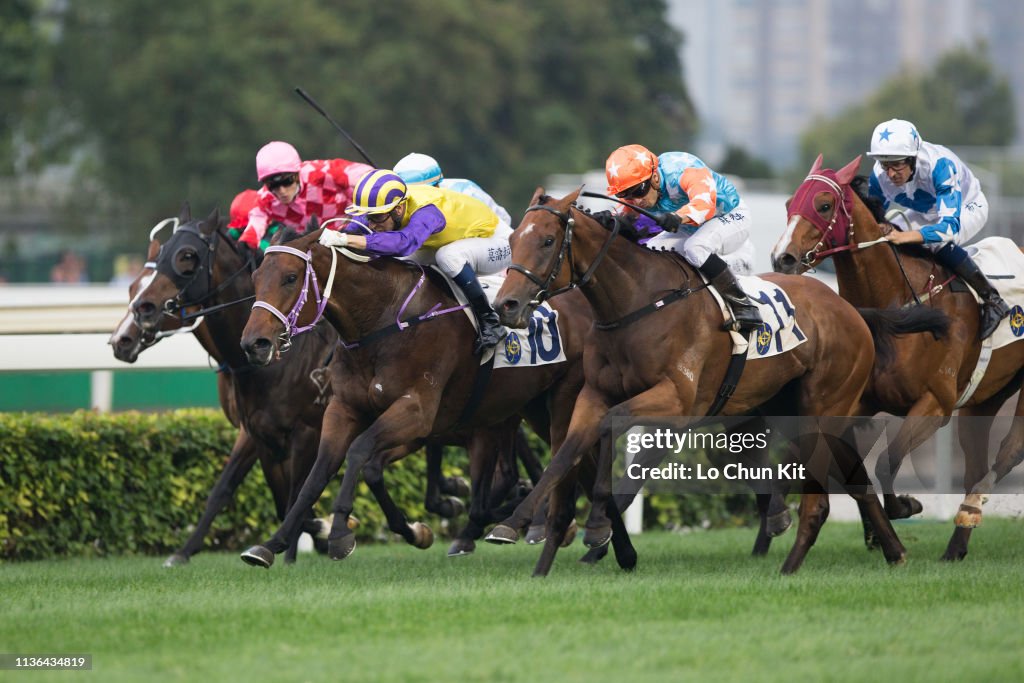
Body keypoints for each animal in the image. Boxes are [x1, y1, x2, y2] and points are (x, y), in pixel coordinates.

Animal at [487, 187, 937, 577]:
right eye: (512, 239)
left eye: (547, 241)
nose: (506, 305)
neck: (637, 303)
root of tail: (849, 308)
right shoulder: (594, 395)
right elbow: (567, 452)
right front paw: (513, 523)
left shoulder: (677, 402)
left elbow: (613, 428)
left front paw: (597, 524)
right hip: (793, 407)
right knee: (856, 479)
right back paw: (893, 550)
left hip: (821, 410)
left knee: (823, 492)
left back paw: (793, 564)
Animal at [774, 156, 1024, 561]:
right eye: (788, 204)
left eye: (824, 205)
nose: (782, 258)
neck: (900, 306)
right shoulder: (856, 402)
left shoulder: (934, 405)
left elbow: (886, 462)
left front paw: (905, 507)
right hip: (986, 395)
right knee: (975, 461)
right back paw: (955, 547)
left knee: (1009, 451)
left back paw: (969, 511)